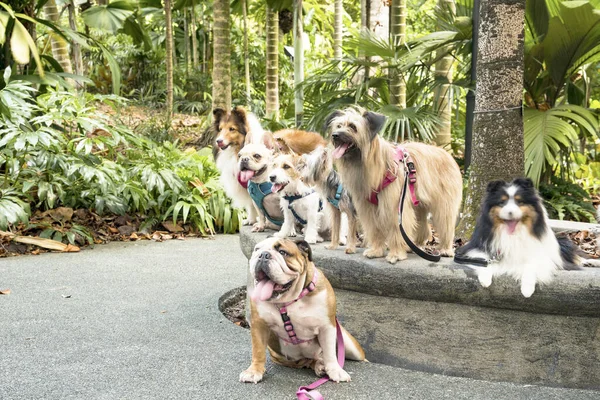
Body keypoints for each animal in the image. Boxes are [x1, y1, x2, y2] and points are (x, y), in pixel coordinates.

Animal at [240, 238, 366, 384]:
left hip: (352, 347)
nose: (263, 255)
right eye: (257, 249)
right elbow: (258, 350)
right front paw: (254, 371)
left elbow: (329, 353)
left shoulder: (327, 327)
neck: (289, 300)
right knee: (309, 360)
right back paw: (319, 365)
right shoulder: (259, 324)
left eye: (283, 252)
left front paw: (336, 371)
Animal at [326, 107, 462, 262]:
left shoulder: (394, 205)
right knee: (423, 225)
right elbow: (374, 228)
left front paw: (396, 254)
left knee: (446, 223)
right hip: (418, 203)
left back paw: (445, 249)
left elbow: (396, 228)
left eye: (353, 127)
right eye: (338, 126)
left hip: (444, 204)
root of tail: (446, 153)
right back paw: (415, 245)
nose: (335, 135)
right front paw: (376, 250)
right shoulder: (368, 207)